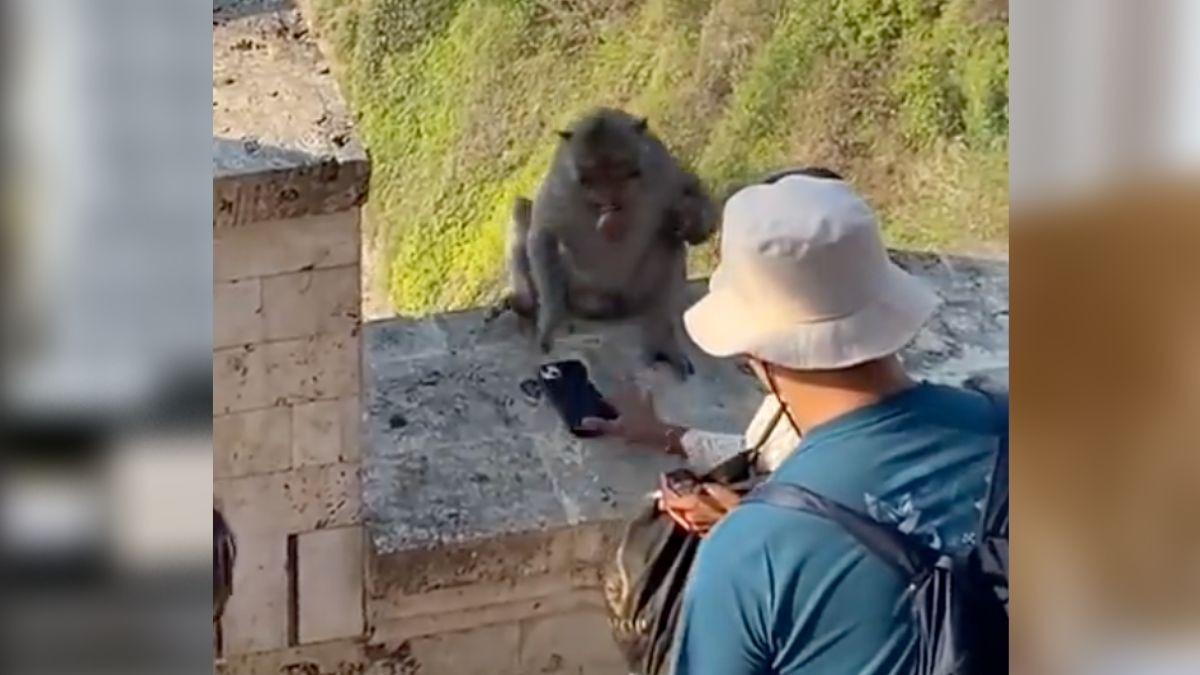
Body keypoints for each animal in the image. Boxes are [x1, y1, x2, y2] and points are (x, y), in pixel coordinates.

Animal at [496, 107, 710, 374]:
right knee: (521, 209)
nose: (607, 200)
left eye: (620, 172)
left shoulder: (660, 167)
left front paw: (690, 219)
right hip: (582, 292)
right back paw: (524, 304)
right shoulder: (561, 185)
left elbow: (689, 195)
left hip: (634, 295)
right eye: (590, 179)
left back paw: (663, 335)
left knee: (668, 239)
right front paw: (552, 318)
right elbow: (544, 233)